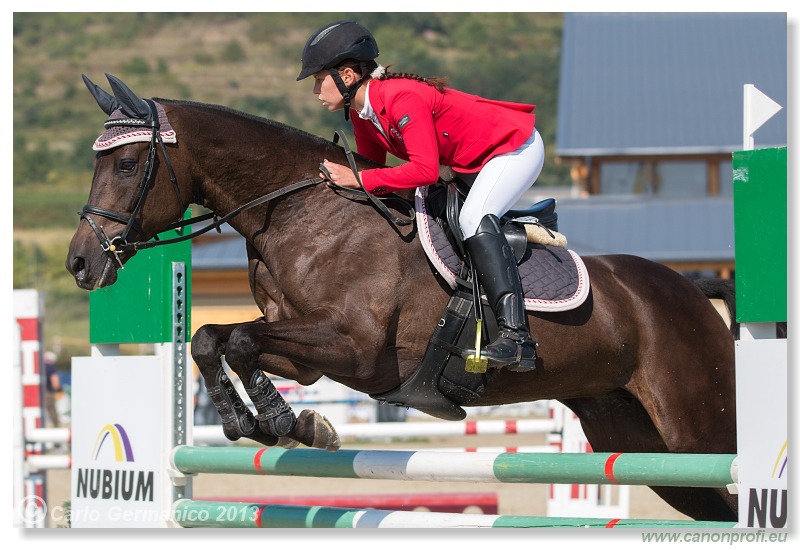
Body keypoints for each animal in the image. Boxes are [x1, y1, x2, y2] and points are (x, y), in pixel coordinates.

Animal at [69, 75, 736, 524]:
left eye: (126, 164)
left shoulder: (357, 349)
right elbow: (216, 339)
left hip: (696, 429)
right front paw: (275, 423)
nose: (81, 262)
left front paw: (283, 422)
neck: (300, 210)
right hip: (636, 436)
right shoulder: (307, 351)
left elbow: (239, 341)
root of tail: (692, 289)